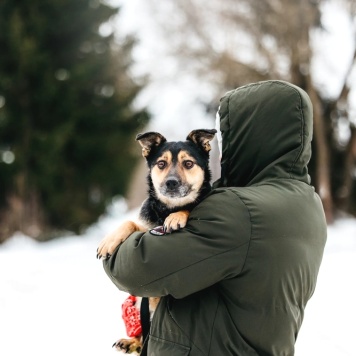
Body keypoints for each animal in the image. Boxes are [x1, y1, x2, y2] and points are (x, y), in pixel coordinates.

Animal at [96, 128, 216, 354]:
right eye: (161, 164)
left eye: (188, 163)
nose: (171, 182)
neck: (165, 210)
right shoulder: (145, 227)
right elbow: (130, 222)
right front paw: (109, 241)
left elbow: (189, 207)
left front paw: (177, 217)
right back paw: (130, 342)